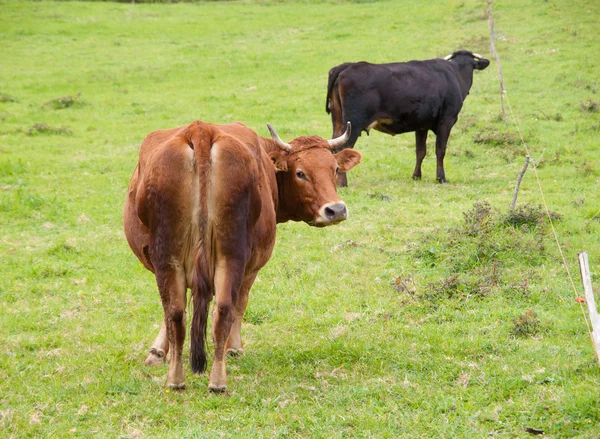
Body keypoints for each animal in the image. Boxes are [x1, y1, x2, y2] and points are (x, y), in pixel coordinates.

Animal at [123, 120, 360, 392]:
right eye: (300, 173)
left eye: (334, 168)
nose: (336, 210)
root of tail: (201, 130)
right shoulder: (253, 263)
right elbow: (240, 302)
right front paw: (233, 348)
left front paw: (159, 351)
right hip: (228, 256)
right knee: (221, 308)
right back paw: (214, 379)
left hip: (180, 258)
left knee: (185, 310)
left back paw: (183, 380)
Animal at [326, 50, 490, 186]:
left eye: (471, 65)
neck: (455, 73)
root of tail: (348, 65)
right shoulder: (447, 120)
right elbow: (440, 150)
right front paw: (441, 178)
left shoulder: (422, 125)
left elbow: (421, 151)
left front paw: (416, 176)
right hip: (353, 124)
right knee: (343, 148)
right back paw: (343, 183)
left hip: (339, 122)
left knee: (334, 146)